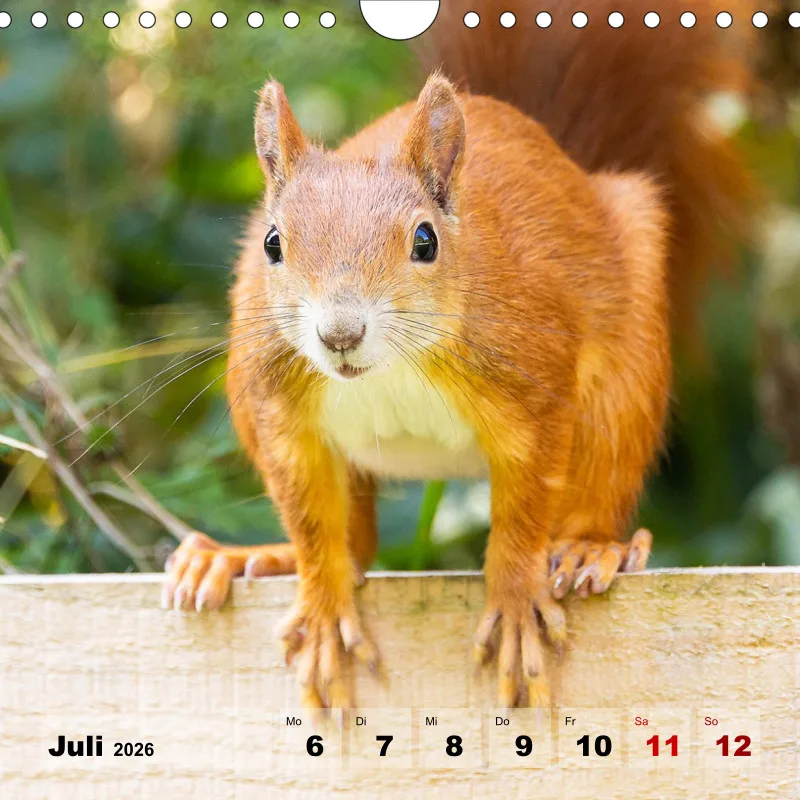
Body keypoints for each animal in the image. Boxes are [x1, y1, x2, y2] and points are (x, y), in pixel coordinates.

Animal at [162, 0, 754, 710]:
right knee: (360, 543)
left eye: (425, 241)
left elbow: (525, 509)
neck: (391, 371)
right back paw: (241, 557)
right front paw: (324, 610)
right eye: (272, 243)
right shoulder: (280, 409)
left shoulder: (533, 382)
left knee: (601, 474)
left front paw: (517, 600)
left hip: (627, 377)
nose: (340, 334)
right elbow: (311, 520)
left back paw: (589, 549)